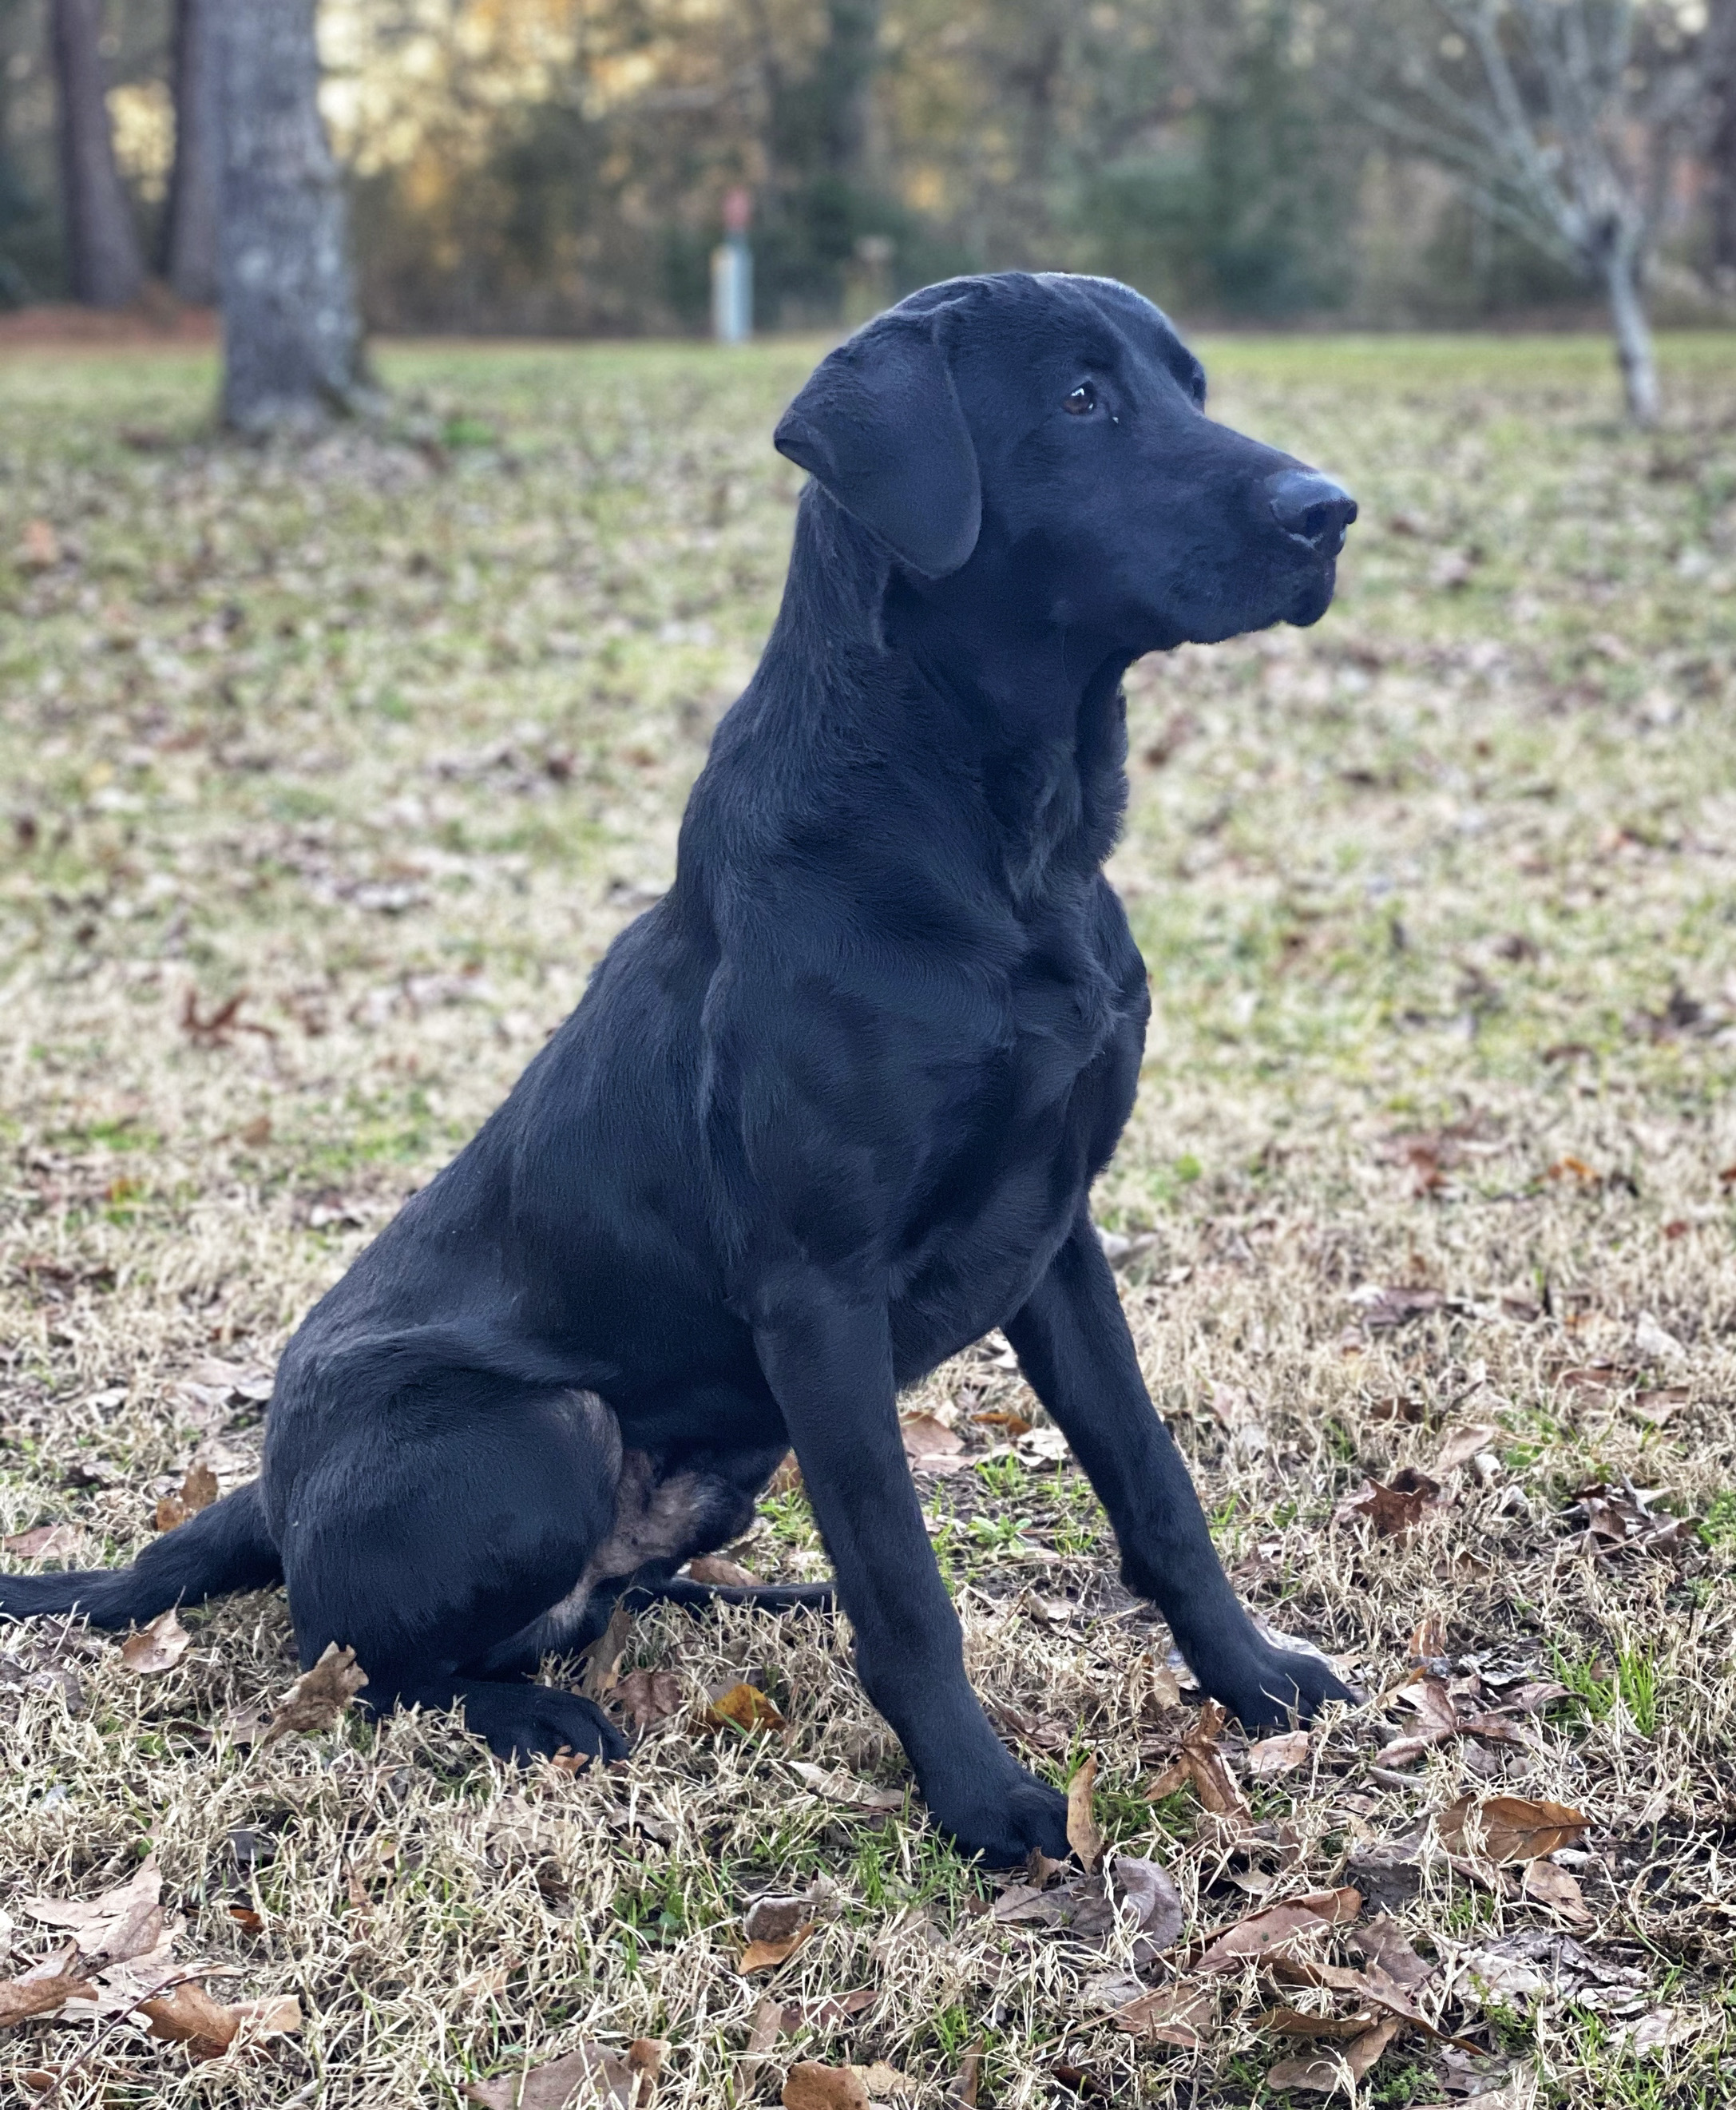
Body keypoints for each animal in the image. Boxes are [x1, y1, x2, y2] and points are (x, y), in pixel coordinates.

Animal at [0, 276, 1358, 1865]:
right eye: (1081, 400)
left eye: (1187, 385)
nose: (1330, 513)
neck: (1010, 850)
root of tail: (264, 1497)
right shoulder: (816, 1288)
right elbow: (906, 1580)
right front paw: (981, 1799)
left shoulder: (1058, 1233)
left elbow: (1153, 1484)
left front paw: (1252, 1675)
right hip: (542, 1429)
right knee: (356, 1659)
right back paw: (538, 1716)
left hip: (727, 1465)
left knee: (611, 1595)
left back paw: (757, 1598)